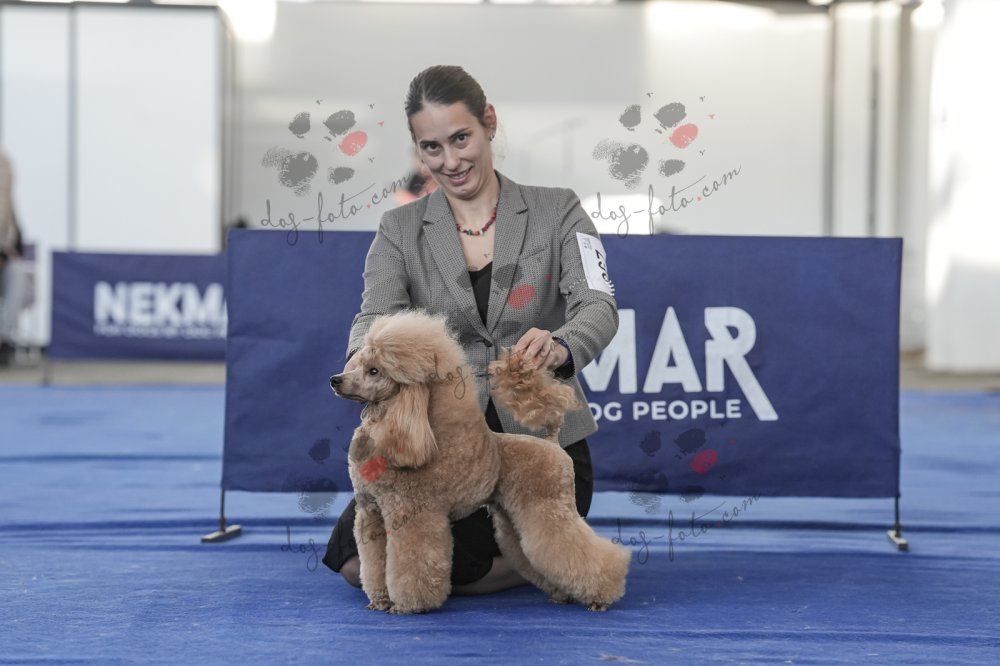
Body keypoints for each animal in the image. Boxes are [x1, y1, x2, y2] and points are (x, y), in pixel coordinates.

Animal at [329, 310, 630, 614]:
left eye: (374, 371)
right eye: (357, 364)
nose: (335, 379)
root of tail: (552, 442)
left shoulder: (413, 515)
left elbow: (412, 563)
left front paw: (408, 605)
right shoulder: (371, 514)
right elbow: (374, 562)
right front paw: (380, 599)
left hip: (546, 506)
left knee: (576, 548)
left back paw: (601, 595)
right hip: (513, 516)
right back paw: (561, 593)